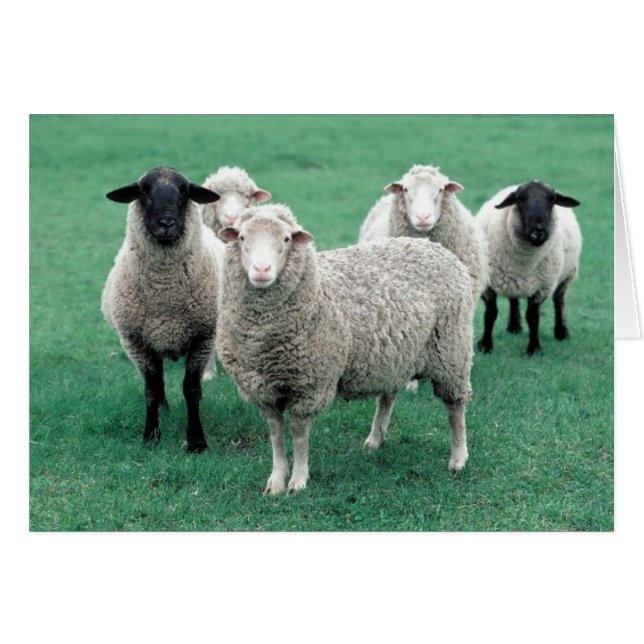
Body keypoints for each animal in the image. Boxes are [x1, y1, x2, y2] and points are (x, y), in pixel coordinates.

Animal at [101, 166, 221, 452]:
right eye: (144, 190)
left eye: (184, 190)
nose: (166, 223)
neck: (165, 293)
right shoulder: (137, 342)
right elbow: (151, 390)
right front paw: (150, 437)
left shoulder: (203, 338)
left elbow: (191, 390)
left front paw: (197, 441)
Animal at [216, 204, 474, 494]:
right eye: (242, 238)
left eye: (286, 239)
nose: (262, 269)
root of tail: (432, 246)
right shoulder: (262, 390)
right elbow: (275, 434)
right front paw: (276, 480)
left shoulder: (309, 384)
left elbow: (299, 434)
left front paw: (298, 480)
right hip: (395, 355)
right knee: (388, 396)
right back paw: (375, 439)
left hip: (452, 351)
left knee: (455, 407)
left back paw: (458, 458)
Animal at [475, 180, 582, 356]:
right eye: (520, 199)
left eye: (552, 200)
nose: (538, 231)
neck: (523, 262)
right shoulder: (488, 283)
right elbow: (490, 313)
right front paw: (485, 345)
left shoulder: (542, 287)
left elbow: (532, 317)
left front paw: (534, 349)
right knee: (513, 299)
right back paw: (514, 327)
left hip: (568, 275)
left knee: (559, 301)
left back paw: (561, 332)